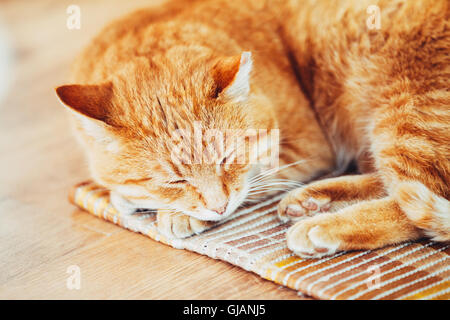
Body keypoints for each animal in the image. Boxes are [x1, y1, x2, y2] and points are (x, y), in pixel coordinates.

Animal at [57, 0, 450, 258]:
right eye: (175, 180)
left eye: (228, 158)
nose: (219, 208)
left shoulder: (307, 146)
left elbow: (256, 179)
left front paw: (177, 215)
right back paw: (312, 201)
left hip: (404, 120)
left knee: (421, 201)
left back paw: (320, 227)